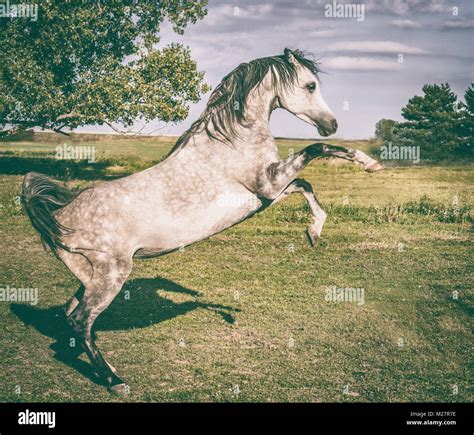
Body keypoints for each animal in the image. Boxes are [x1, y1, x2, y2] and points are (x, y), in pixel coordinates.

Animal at [23, 48, 386, 396]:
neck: (233, 140)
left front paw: (314, 231)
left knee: (71, 314)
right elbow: (316, 149)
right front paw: (369, 164)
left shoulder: (267, 196)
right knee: (81, 320)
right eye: (310, 86)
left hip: (90, 276)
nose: (332, 124)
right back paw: (115, 380)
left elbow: (305, 184)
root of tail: (58, 218)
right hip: (112, 274)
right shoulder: (269, 184)